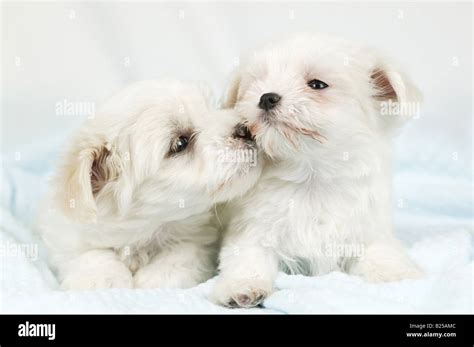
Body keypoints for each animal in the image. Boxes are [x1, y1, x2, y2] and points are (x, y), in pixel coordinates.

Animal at [39, 79, 262, 290]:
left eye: (213, 107)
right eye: (180, 143)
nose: (245, 129)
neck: (145, 231)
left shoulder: (199, 236)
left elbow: (182, 252)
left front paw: (157, 276)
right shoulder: (65, 233)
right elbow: (88, 253)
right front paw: (102, 278)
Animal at [213, 34, 424, 308]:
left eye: (317, 84)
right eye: (257, 82)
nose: (266, 97)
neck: (311, 176)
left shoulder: (368, 227)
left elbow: (381, 249)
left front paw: (395, 274)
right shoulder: (252, 228)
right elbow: (246, 257)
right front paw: (242, 286)